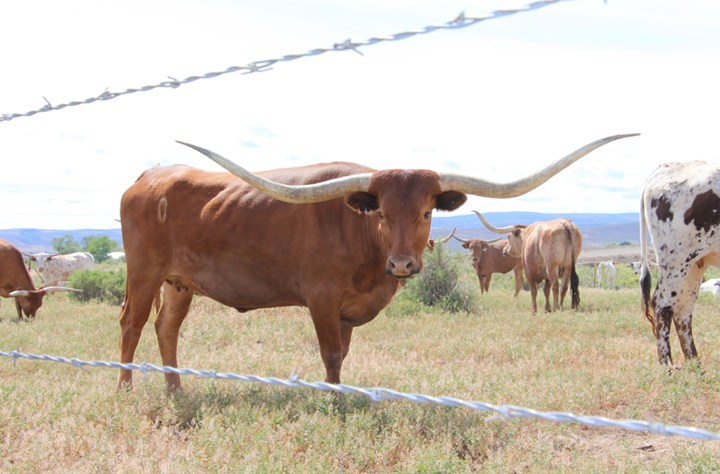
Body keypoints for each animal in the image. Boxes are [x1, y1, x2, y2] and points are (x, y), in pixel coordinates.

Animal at [116, 133, 636, 392]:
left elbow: (342, 356)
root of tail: (149, 176)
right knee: (132, 324)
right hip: (143, 273)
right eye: (381, 211)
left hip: (179, 282)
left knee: (165, 328)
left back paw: (176, 390)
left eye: (426, 212)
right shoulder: (322, 300)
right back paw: (126, 388)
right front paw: (334, 403)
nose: (403, 265)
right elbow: (329, 355)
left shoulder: (348, 309)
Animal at [640, 161, 720, 366]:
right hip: (676, 261)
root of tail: (665, 167)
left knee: (683, 310)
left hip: (694, 264)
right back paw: (666, 362)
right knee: (662, 304)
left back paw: (694, 362)